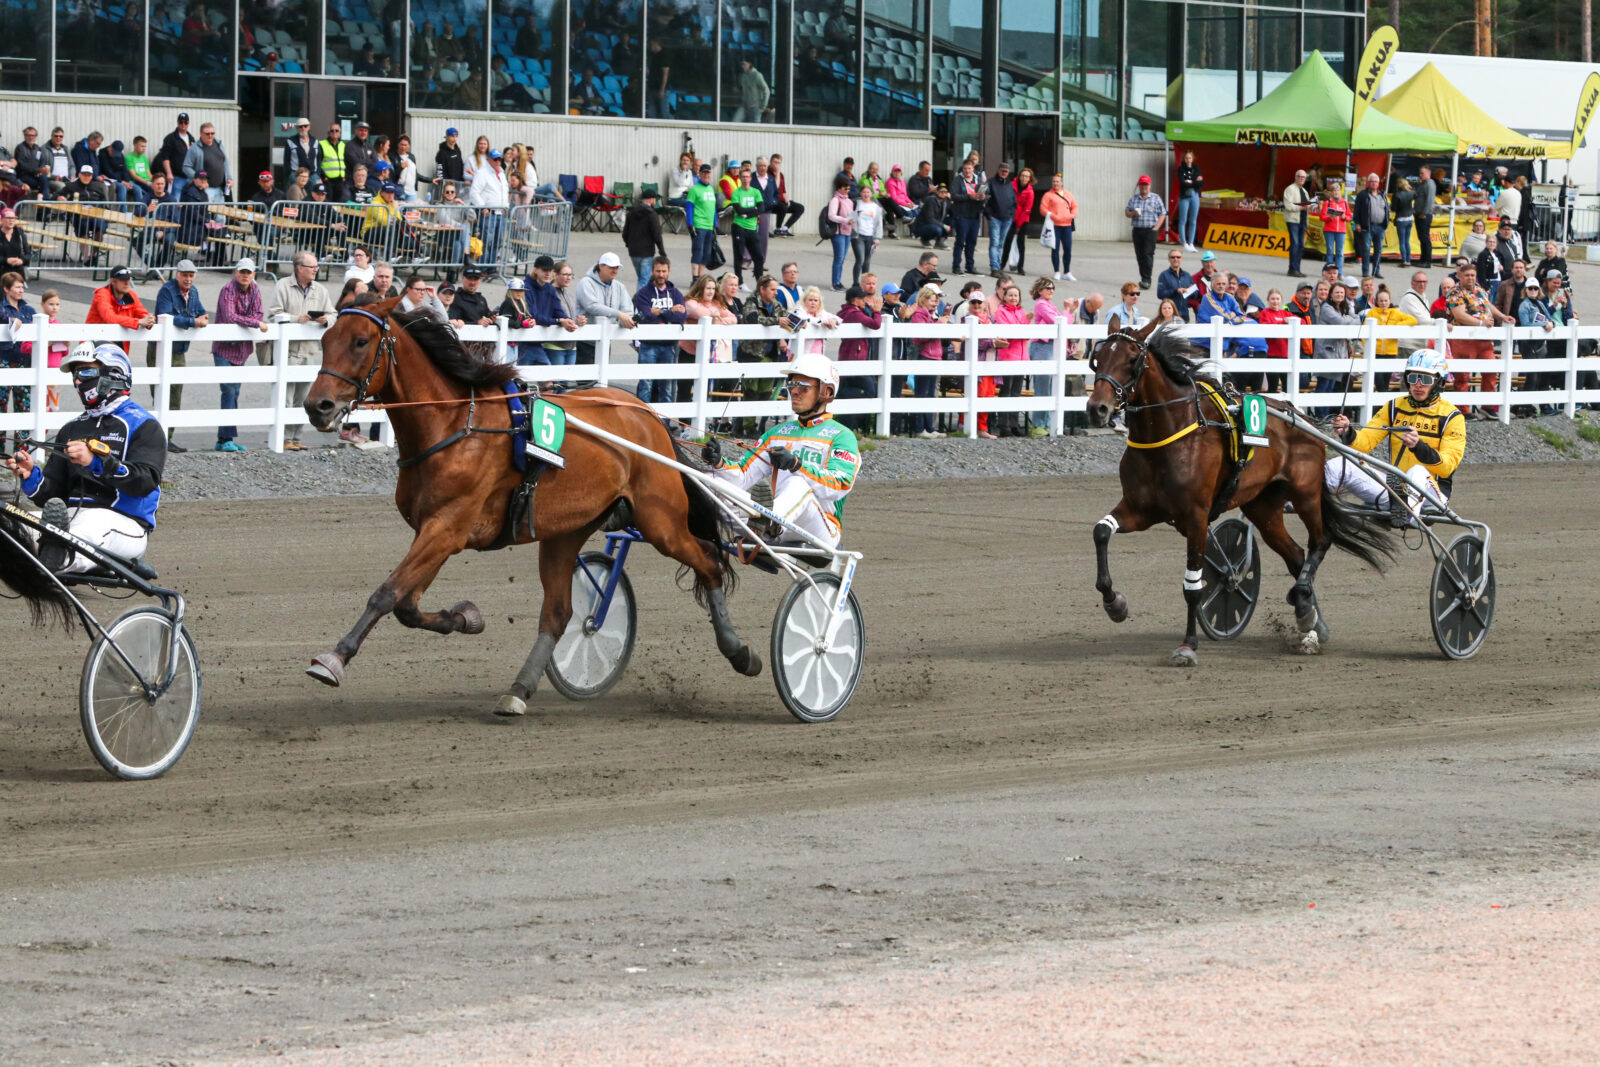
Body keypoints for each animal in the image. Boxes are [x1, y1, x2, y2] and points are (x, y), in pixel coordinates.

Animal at [300, 299, 761, 716]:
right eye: (325, 339)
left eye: (361, 341)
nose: (316, 406)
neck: (456, 426)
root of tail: (646, 413)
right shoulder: (433, 531)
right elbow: (407, 606)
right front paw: (466, 617)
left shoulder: (447, 527)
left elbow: (387, 594)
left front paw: (334, 659)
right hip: (565, 532)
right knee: (559, 614)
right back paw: (518, 690)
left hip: (660, 520)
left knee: (709, 560)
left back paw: (742, 653)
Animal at [1081, 321, 1395, 662]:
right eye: (1098, 358)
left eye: (1131, 360)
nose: (1097, 408)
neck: (1168, 435)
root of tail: (1303, 418)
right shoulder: (1140, 510)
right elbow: (1101, 532)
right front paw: (1115, 603)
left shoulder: (1196, 517)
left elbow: (1193, 586)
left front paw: (1188, 646)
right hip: (1263, 507)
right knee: (1297, 557)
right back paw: (1310, 622)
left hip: (1305, 494)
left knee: (1320, 542)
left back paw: (1305, 608)